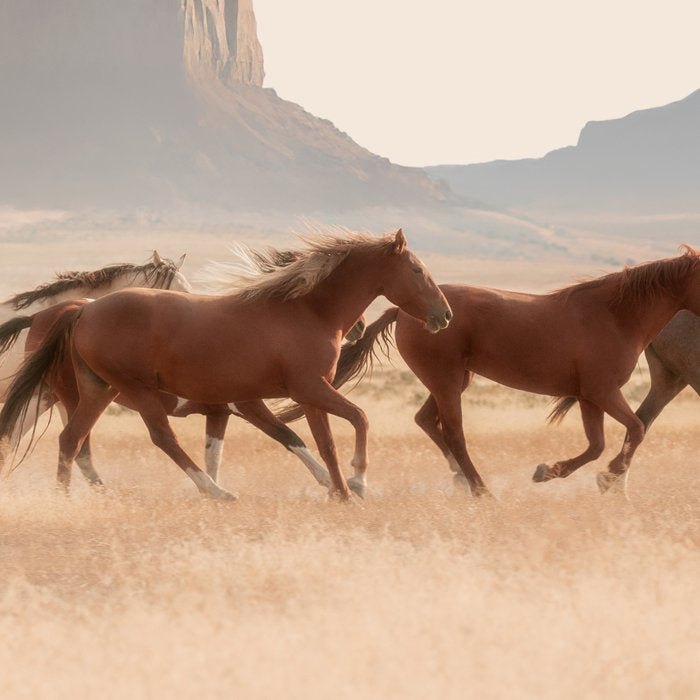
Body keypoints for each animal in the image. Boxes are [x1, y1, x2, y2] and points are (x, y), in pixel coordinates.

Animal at [0, 229, 451, 500]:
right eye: (417, 270)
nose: (444, 316)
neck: (306, 310)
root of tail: (82, 310)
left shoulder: (290, 397)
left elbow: (310, 442)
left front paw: (337, 490)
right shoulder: (303, 391)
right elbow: (354, 421)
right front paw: (355, 482)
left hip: (97, 389)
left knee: (71, 441)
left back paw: (67, 499)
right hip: (133, 390)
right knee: (160, 438)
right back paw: (213, 492)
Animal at [278, 246, 700, 496]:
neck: (614, 315)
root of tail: (407, 311)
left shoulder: (589, 396)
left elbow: (598, 443)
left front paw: (552, 471)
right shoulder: (602, 392)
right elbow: (635, 429)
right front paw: (604, 477)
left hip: (453, 380)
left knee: (426, 421)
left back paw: (462, 480)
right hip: (447, 381)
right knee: (453, 433)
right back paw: (480, 489)